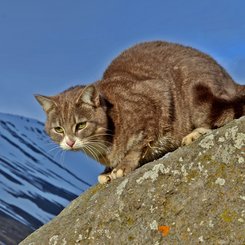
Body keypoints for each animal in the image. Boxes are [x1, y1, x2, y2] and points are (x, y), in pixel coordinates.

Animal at [35, 41, 245, 184]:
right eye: (58, 129)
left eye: (81, 125)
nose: (70, 142)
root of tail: (231, 81)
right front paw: (107, 171)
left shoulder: (157, 98)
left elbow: (138, 144)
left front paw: (122, 166)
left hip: (196, 92)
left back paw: (195, 132)